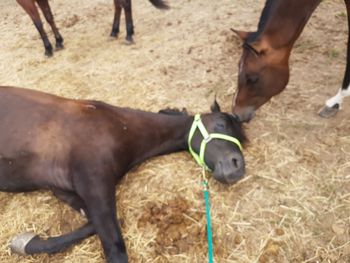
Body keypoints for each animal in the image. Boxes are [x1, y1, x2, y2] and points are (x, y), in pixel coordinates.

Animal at [0, 87, 246, 263]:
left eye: (242, 139)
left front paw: (25, 242)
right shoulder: (94, 184)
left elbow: (91, 223)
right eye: (221, 123)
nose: (238, 167)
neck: (121, 128)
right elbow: (116, 249)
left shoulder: (63, 190)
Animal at [16, 0, 170, 56]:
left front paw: (48, 48)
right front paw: (58, 42)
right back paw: (114, 32)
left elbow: (38, 23)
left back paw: (128, 35)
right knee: (118, 4)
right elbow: (48, 17)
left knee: (124, 3)